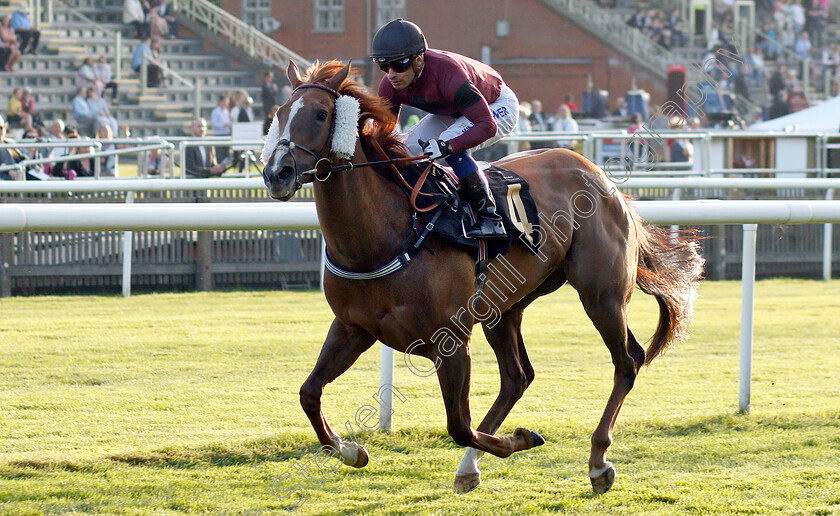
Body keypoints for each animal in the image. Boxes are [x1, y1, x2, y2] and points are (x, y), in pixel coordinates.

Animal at [260, 58, 704, 494]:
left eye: (320, 114)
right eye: (279, 114)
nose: (277, 173)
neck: (384, 235)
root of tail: (600, 175)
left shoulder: (452, 344)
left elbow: (458, 425)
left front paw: (522, 439)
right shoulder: (353, 328)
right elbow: (309, 393)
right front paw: (350, 450)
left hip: (601, 295)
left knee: (627, 360)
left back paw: (597, 461)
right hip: (504, 307)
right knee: (517, 376)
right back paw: (469, 467)